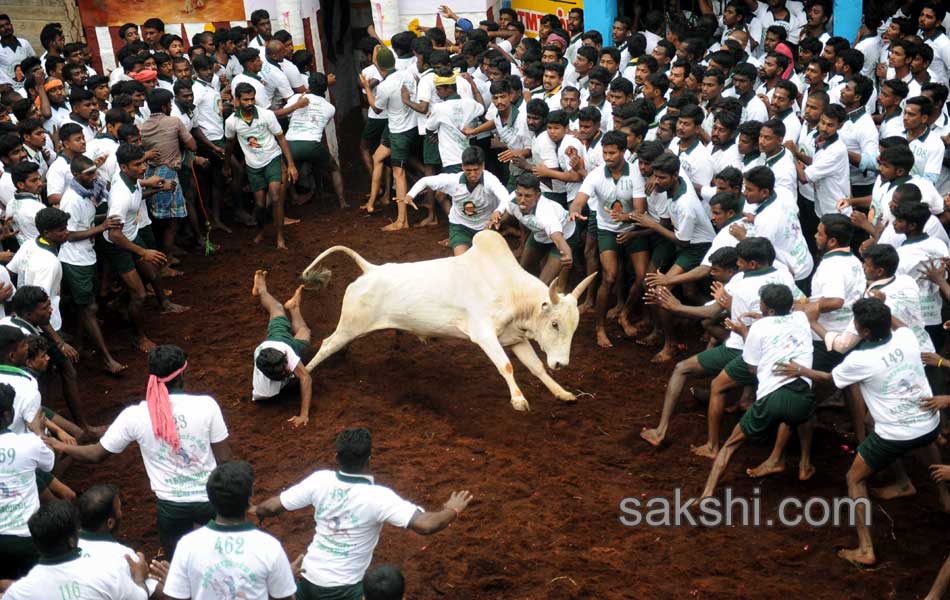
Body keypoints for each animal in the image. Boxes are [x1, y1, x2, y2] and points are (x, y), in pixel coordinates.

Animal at [302, 227, 596, 410]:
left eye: (574, 328)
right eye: (555, 324)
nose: (562, 363)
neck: (512, 291)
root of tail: (370, 269)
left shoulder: (516, 339)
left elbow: (537, 367)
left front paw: (562, 393)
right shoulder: (484, 334)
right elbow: (506, 366)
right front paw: (519, 401)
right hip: (350, 325)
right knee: (327, 344)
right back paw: (305, 372)